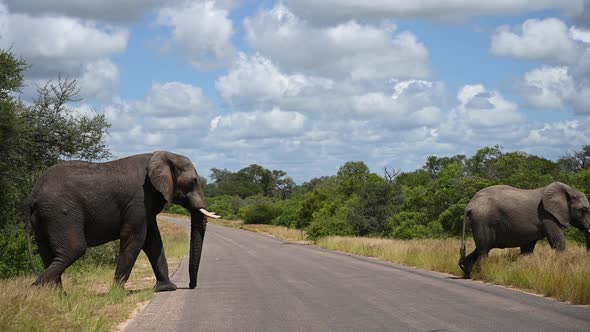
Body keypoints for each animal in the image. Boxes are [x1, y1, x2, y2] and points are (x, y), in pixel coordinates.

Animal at [25, 150, 220, 290]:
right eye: (193, 181)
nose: (190, 286)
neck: (163, 155)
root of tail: (33, 195)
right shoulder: (139, 199)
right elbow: (135, 238)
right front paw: (116, 292)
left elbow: (153, 241)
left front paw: (166, 288)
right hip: (61, 211)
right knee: (73, 250)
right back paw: (35, 290)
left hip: (45, 216)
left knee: (47, 252)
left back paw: (56, 296)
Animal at [462, 183, 590, 276]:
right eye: (583, 210)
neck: (569, 190)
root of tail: (469, 205)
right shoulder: (548, 215)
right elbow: (557, 241)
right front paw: (562, 270)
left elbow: (527, 249)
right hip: (483, 219)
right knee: (483, 250)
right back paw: (482, 273)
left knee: (483, 247)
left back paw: (466, 271)